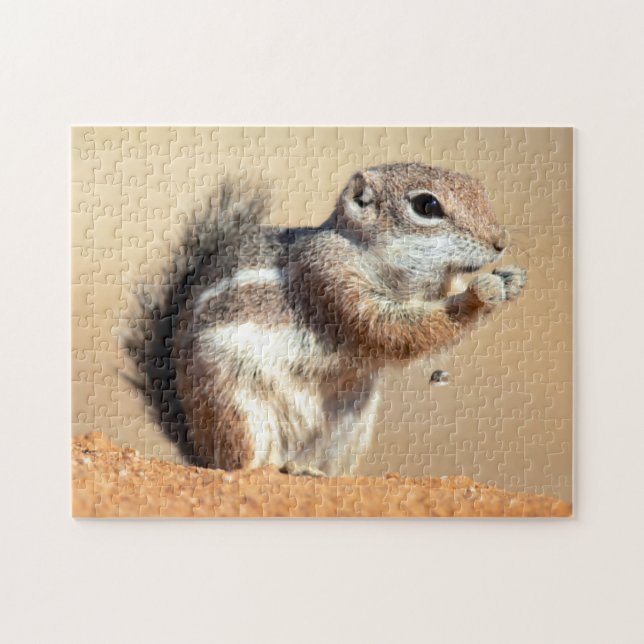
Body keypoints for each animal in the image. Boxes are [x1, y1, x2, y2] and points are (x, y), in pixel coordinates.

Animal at [127, 163, 527, 476]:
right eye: (426, 205)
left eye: (480, 190)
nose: (500, 242)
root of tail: (198, 446)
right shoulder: (330, 278)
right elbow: (394, 329)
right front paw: (479, 295)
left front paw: (511, 280)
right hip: (235, 406)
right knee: (238, 464)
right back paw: (266, 467)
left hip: (350, 425)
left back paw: (306, 471)